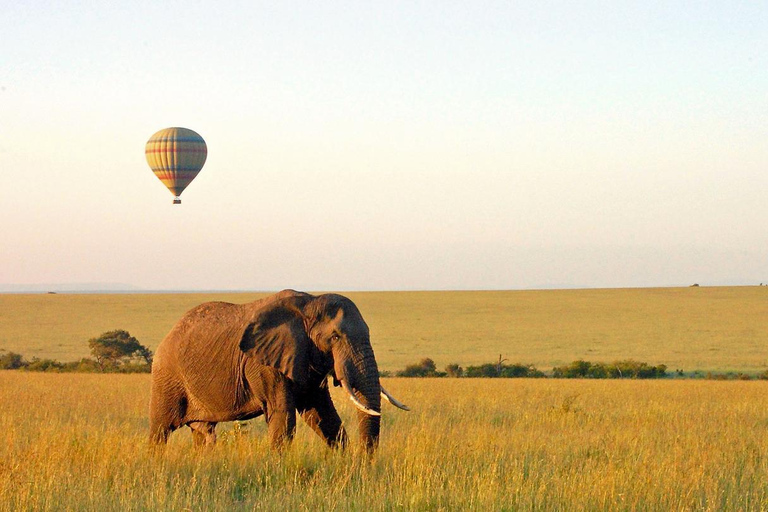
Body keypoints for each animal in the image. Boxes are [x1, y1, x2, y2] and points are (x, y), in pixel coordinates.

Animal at [151, 288, 412, 452]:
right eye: (335, 337)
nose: (363, 464)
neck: (310, 303)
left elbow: (322, 413)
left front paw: (344, 464)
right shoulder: (265, 364)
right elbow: (283, 415)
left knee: (204, 433)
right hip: (167, 376)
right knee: (160, 430)